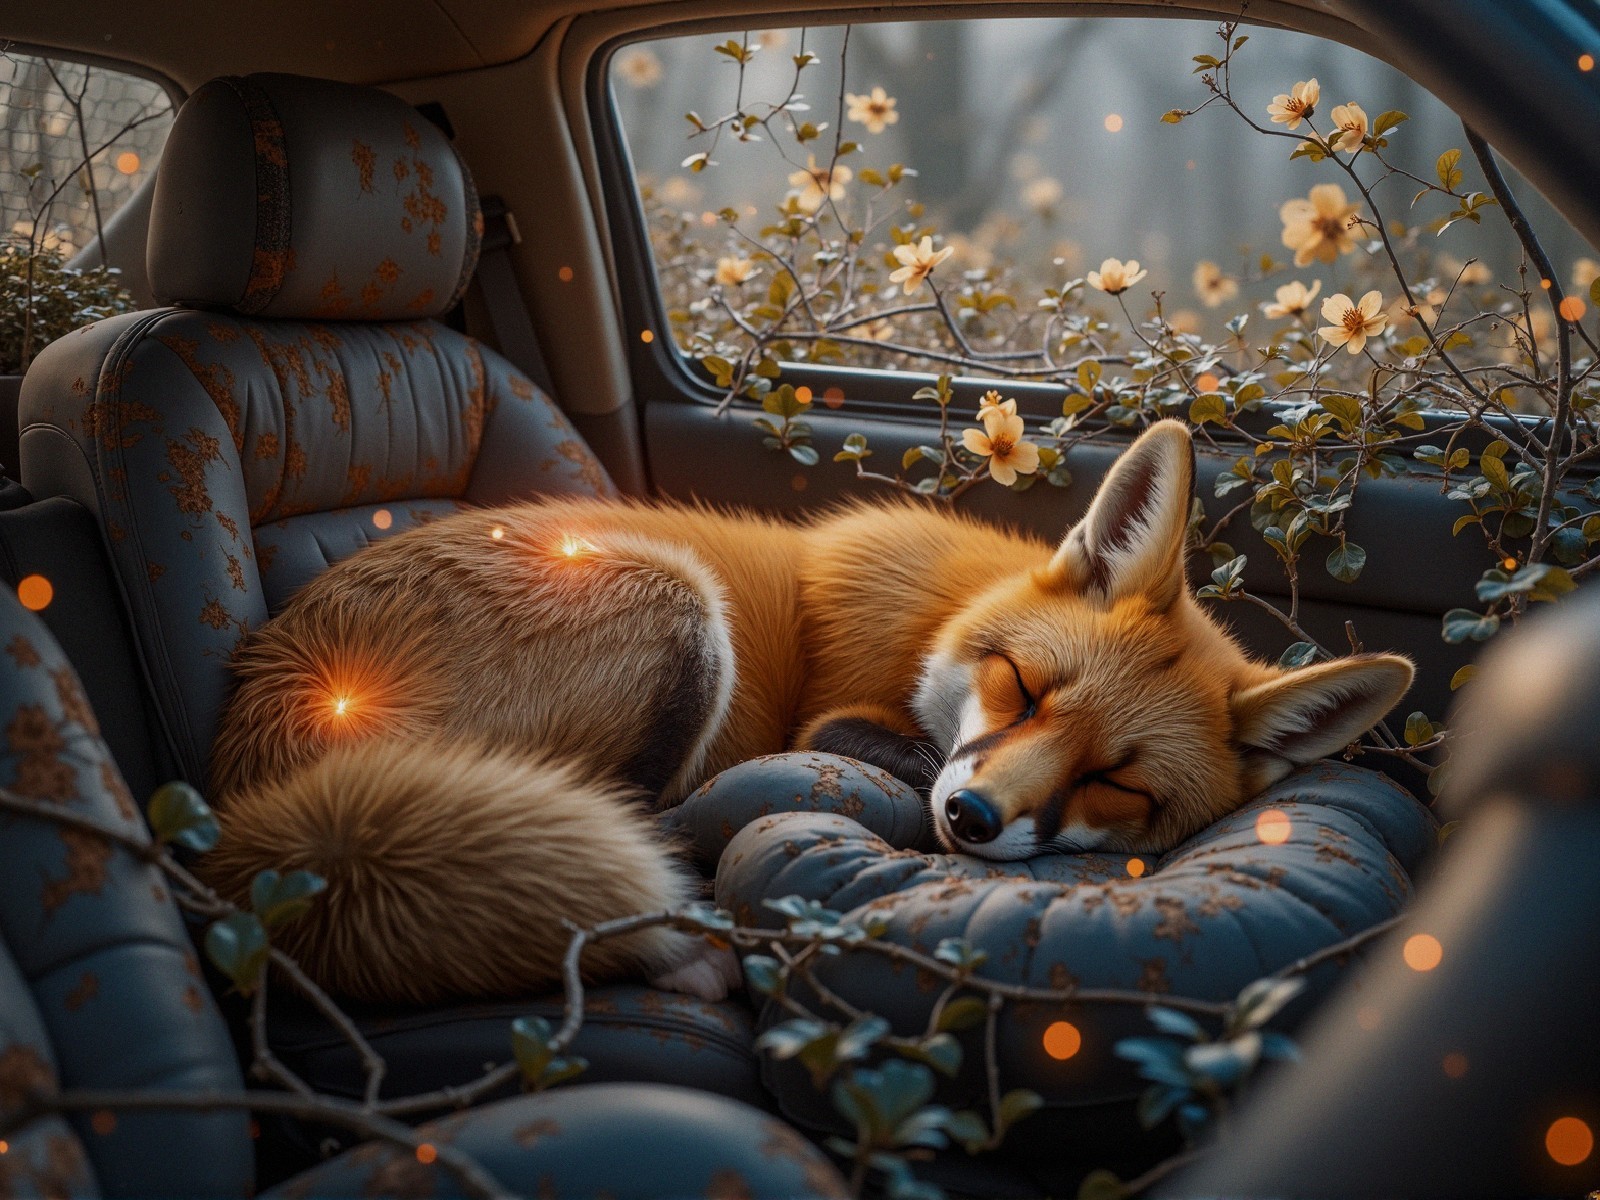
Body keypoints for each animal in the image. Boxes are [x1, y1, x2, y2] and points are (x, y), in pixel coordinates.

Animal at [202, 420, 1413, 1007]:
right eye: (1025, 689)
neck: (935, 617)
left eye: (1118, 782)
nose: (971, 821)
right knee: (630, 817)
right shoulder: (830, 728)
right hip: (678, 606)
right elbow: (892, 747)